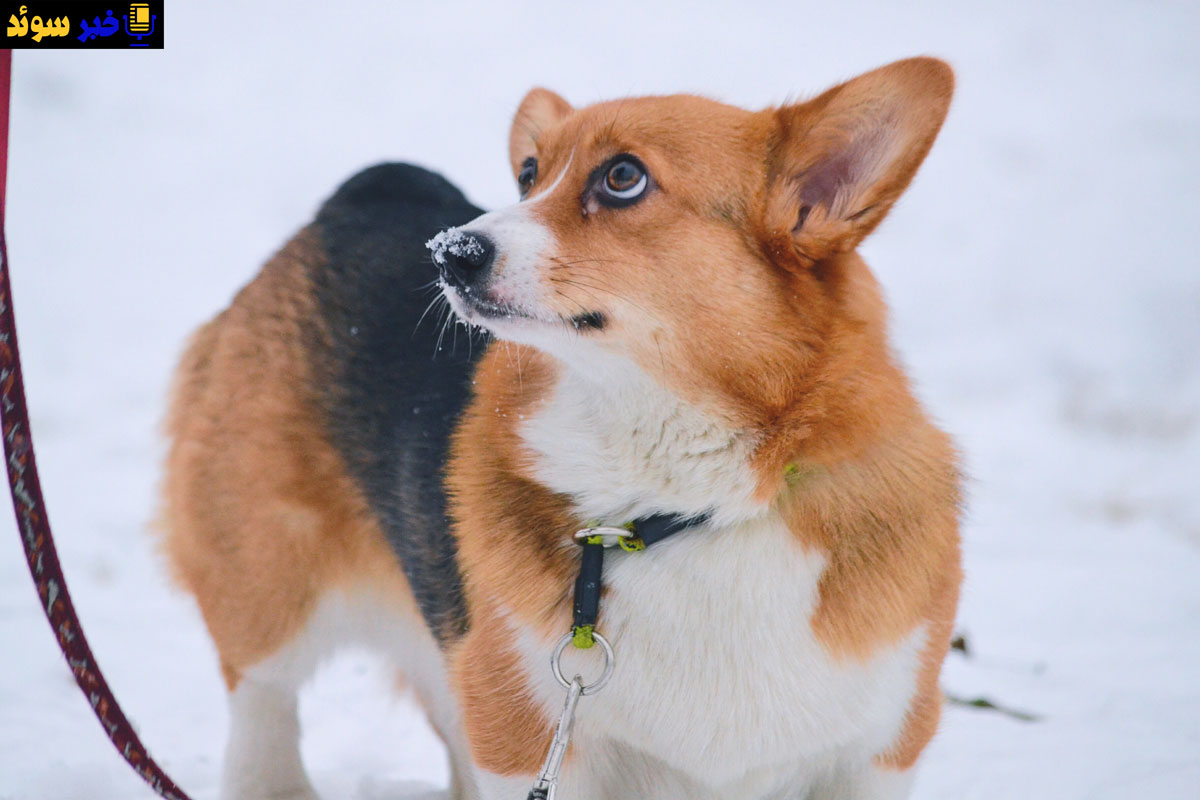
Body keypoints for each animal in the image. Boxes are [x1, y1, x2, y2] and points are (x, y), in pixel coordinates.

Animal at [164, 57, 960, 800]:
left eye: (623, 177)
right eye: (528, 174)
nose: (449, 252)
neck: (688, 508)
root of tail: (374, 188)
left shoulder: (878, 752)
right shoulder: (526, 740)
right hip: (267, 581)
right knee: (262, 702)